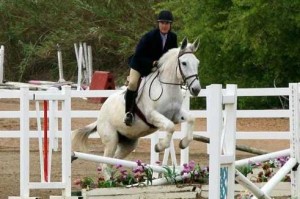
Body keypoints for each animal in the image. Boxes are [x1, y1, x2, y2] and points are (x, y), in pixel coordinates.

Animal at [71, 37, 200, 179]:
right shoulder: (152, 115)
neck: (167, 88)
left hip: (128, 143)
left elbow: (191, 118)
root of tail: (100, 116)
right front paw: (159, 146)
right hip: (111, 140)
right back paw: (109, 181)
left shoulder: (176, 115)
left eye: (197, 63)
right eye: (184, 63)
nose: (196, 89)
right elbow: (170, 127)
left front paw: (184, 143)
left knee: (113, 162)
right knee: (105, 164)